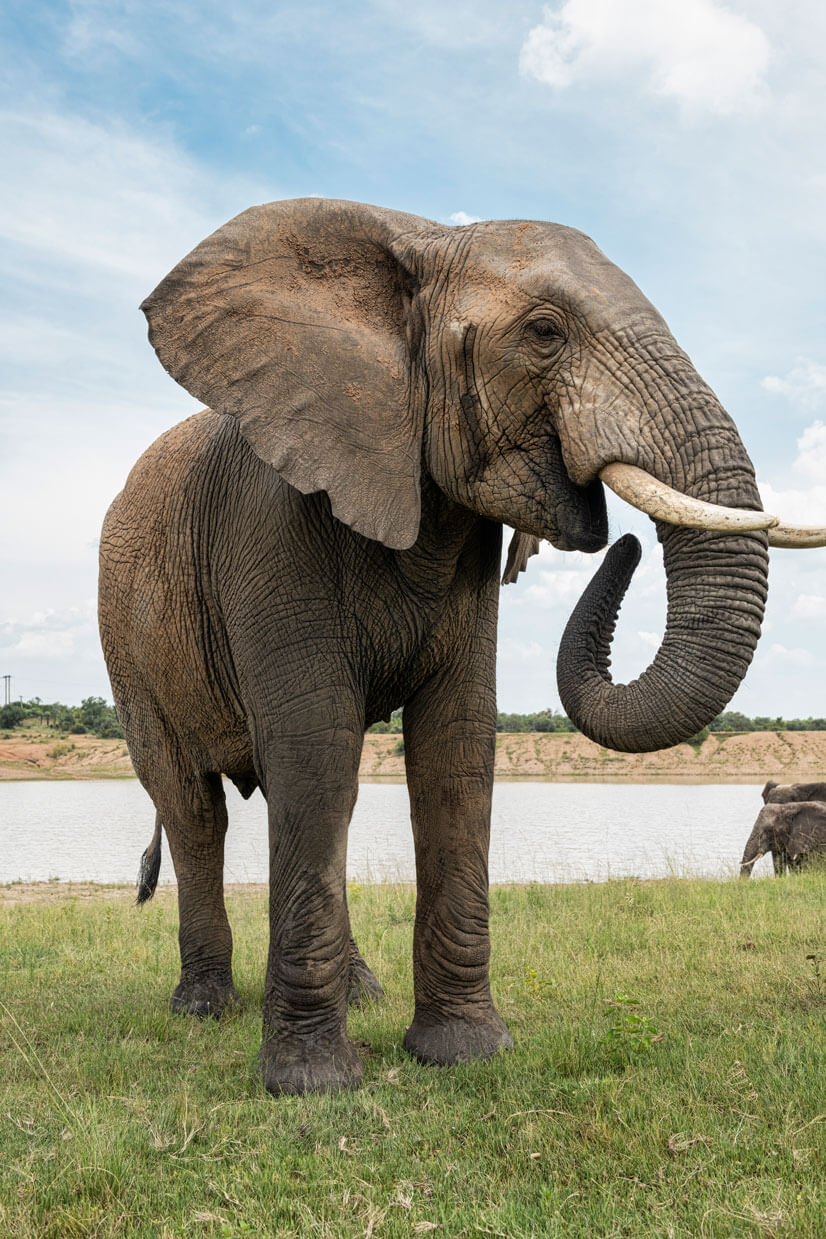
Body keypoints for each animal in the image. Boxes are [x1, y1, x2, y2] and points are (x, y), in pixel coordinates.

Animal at [98, 197, 817, 1095]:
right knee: (196, 807)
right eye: (545, 333)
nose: (623, 541)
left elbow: (457, 751)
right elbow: (315, 749)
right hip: (127, 644)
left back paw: (361, 992)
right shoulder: (270, 521)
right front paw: (311, 1084)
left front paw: (464, 1051)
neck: (419, 243)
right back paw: (203, 1007)